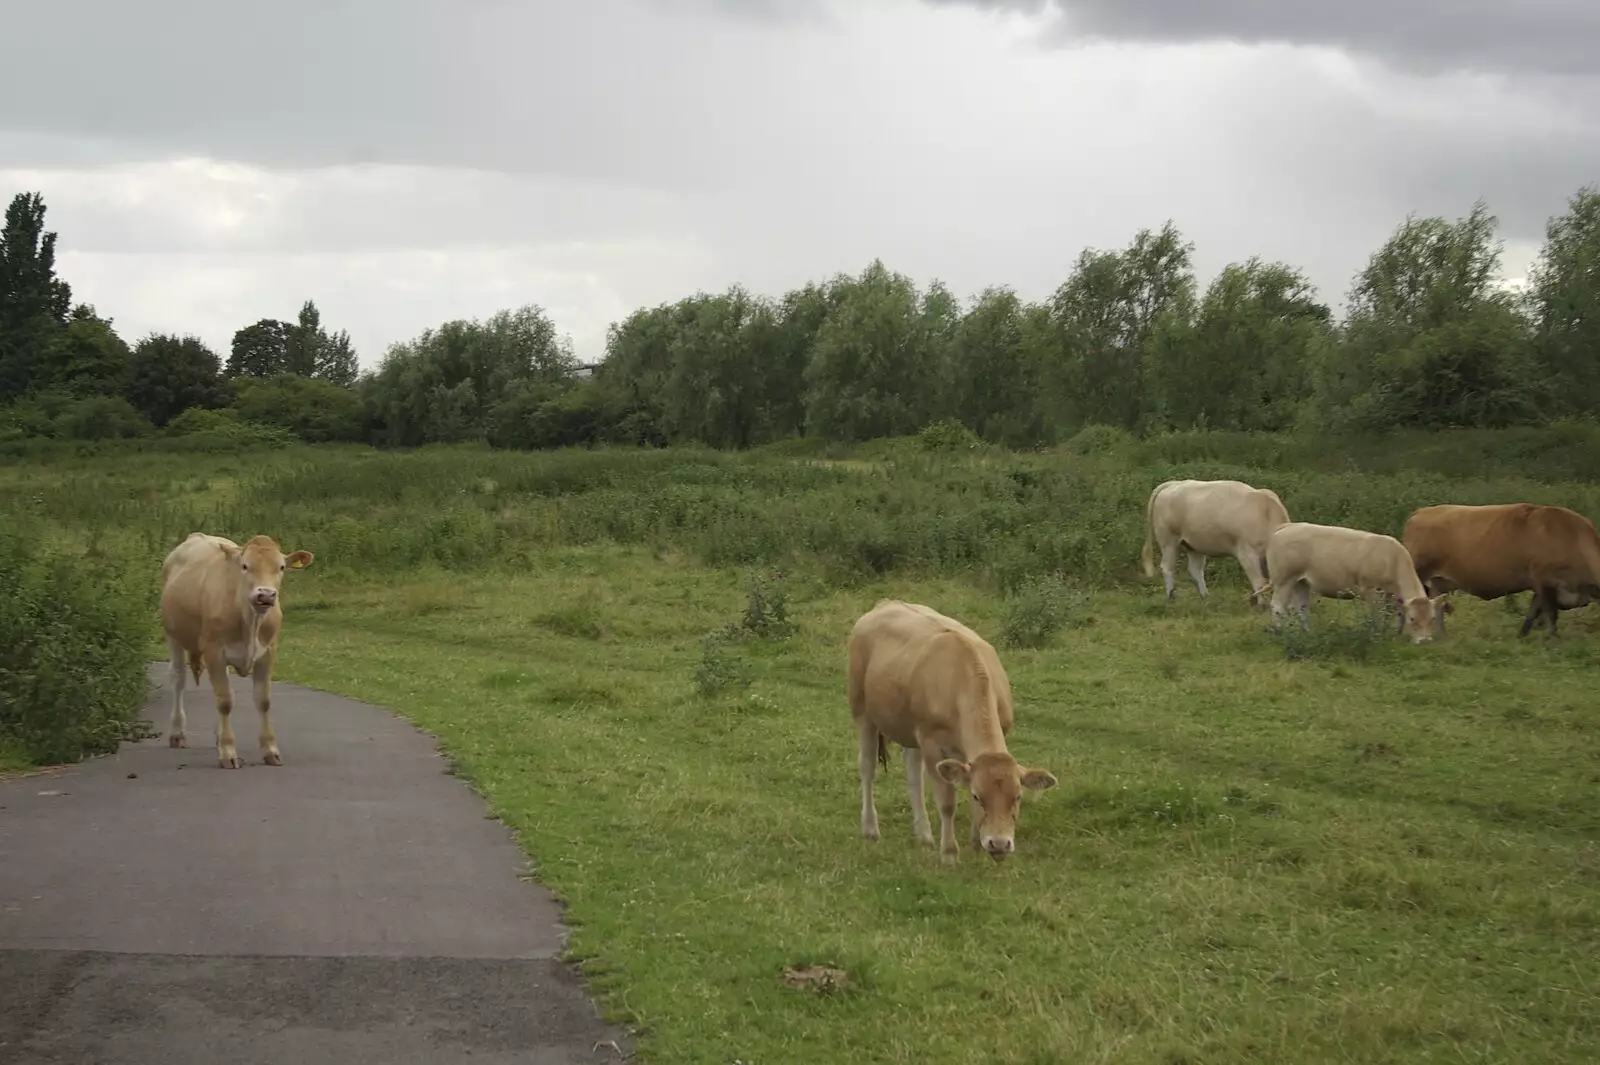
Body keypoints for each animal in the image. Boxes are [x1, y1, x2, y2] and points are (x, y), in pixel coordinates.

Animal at [160, 530, 315, 764]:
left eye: (281, 567)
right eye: (245, 566)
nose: (265, 594)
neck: (250, 620)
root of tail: (197, 535)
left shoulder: (268, 652)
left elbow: (262, 700)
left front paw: (270, 749)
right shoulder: (214, 651)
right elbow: (224, 701)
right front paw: (227, 751)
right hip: (174, 636)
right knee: (178, 679)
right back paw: (177, 733)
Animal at [844, 598, 1056, 863]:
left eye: (1017, 796)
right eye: (978, 795)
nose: (999, 843)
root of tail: (885, 603)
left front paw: (977, 843)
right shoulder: (932, 745)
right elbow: (946, 803)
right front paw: (949, 853)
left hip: (910, 727)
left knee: (913, 772)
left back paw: (924, 835)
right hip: (862, 711)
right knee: (867, 766)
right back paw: (871, 829)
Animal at [1139, 473, 1286, 604]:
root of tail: (1174, 483)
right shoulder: (1247, 555)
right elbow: (1260, 582)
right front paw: (1262, 605)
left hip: (1194, 545)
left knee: (1195, 570)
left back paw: (1206, 597)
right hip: (1168, 542)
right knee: (1167, 567)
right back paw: (1171, 598)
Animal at [1260, 521, 1452, 642]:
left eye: (1432, 618)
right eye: (1412, 619)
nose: (1425, 640)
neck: (1391, 559)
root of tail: (1288, 526)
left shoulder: (1391, 597)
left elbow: (1389, 616)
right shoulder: (1372, 591)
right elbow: (1375, 616)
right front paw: (1375, 635)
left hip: (1301, 582)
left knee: (1302, 608)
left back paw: (1305, 633)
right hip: (1284, 579)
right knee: (1277, 606)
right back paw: (1279, 631)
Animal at [1401, 498, 1600, 633]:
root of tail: (1421, 512)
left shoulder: (1540, 586)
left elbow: (1533, 612)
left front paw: (1522, 636)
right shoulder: (1544, 581)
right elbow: (1550, 614)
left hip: (1439, 581)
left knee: (1437, 606)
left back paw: (1441, 638)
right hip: (1416, 572)